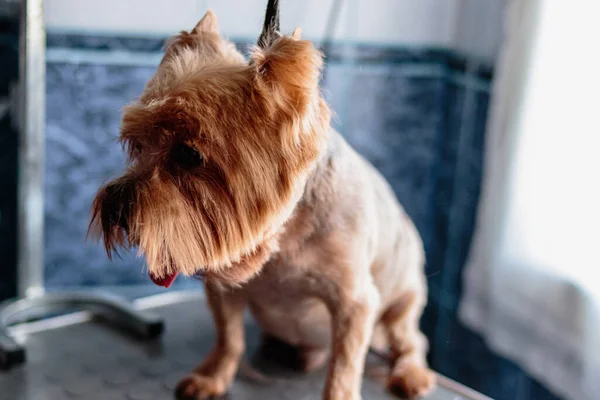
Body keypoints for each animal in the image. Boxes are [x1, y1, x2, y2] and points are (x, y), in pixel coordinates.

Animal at [90, 3, 436, 400]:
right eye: (137, 145)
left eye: (188, 155)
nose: (115, 210)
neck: (279, 242)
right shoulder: (223, 284)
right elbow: (229, 338)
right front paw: (212, 377)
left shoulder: (355, 302)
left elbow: (345, 366)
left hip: (403, 303)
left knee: (412, 340)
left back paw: (411, 373)